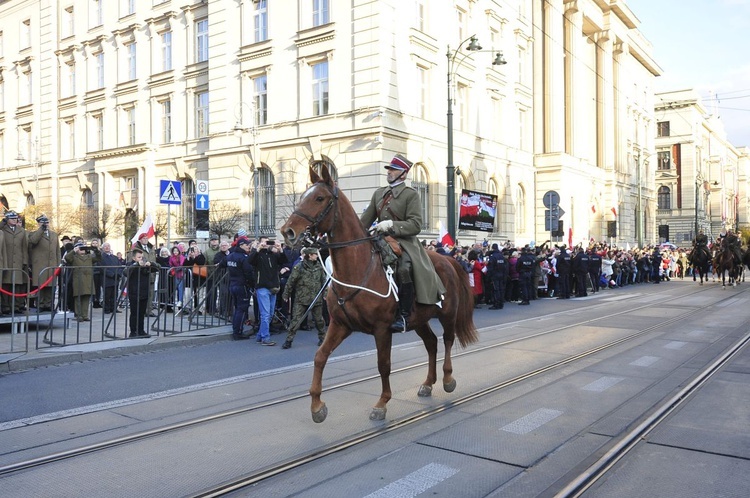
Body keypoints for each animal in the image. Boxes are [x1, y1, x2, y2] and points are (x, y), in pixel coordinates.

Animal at [280, 165, 478, 422]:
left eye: (319, 198)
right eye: (303, 195)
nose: (287, 231)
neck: (356, 269)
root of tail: (447, 259)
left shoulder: (382, 329)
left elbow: (383, 364)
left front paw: (382, 403)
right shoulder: (340, 325)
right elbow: (320, 356)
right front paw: (317, 406)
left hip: (447, 313)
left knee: (447, 339)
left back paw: (447, 379)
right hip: (419, 318)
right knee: (431, 343)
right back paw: (427, 383)